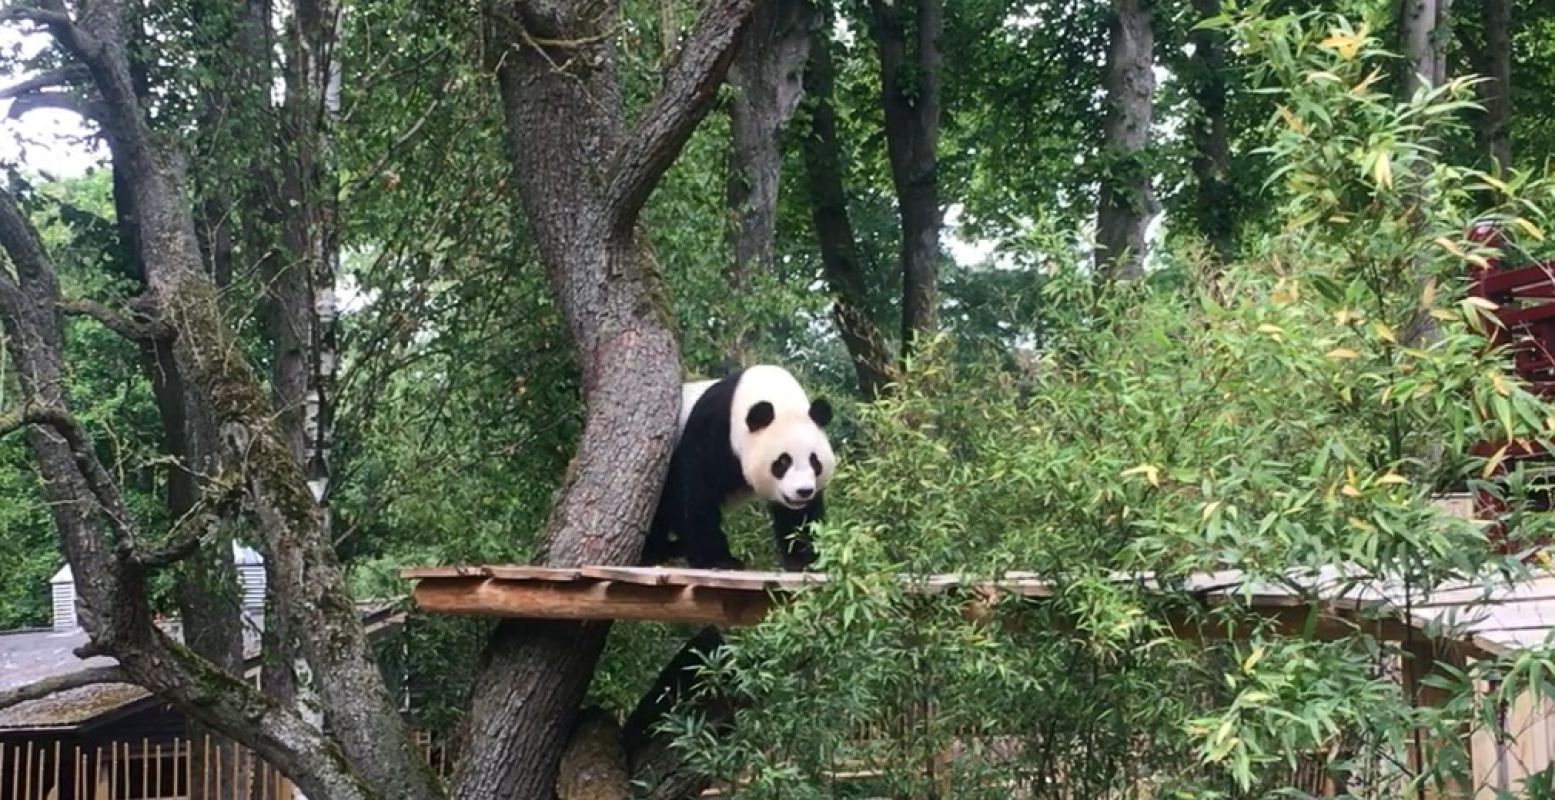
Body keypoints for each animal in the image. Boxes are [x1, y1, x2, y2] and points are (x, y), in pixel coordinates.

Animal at [643, 364, 839, 569]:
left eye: (814, 461)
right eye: (784, 461)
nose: (803, 491)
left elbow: (797, 518)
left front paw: (804, 559)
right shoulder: (714, 430)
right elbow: (693, 492)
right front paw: (719, 560)